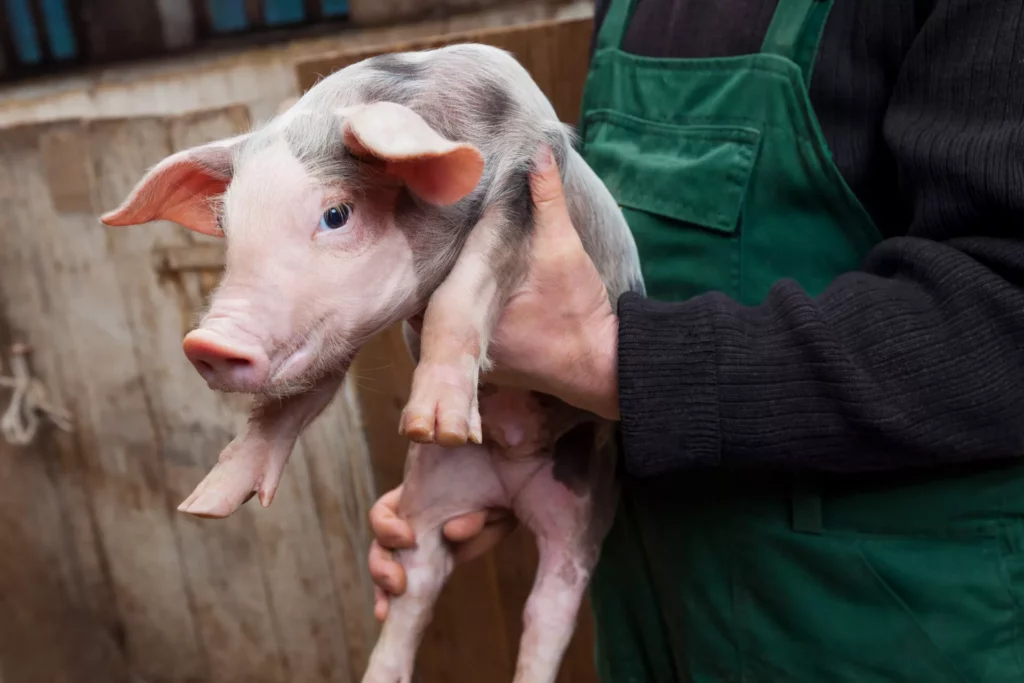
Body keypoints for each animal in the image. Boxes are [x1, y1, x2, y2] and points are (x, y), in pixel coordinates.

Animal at [100, 43, 645, 683]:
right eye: (229, 228)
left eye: (336, 214)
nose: (206, 342)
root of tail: (510, 478)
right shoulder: (333, 329)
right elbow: (300, 395)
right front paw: (203, 506)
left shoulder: (523, 185)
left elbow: (464, 287)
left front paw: (433, 423)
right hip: (434, 492)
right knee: (417, 587)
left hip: (582, 505)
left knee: (550, 606)